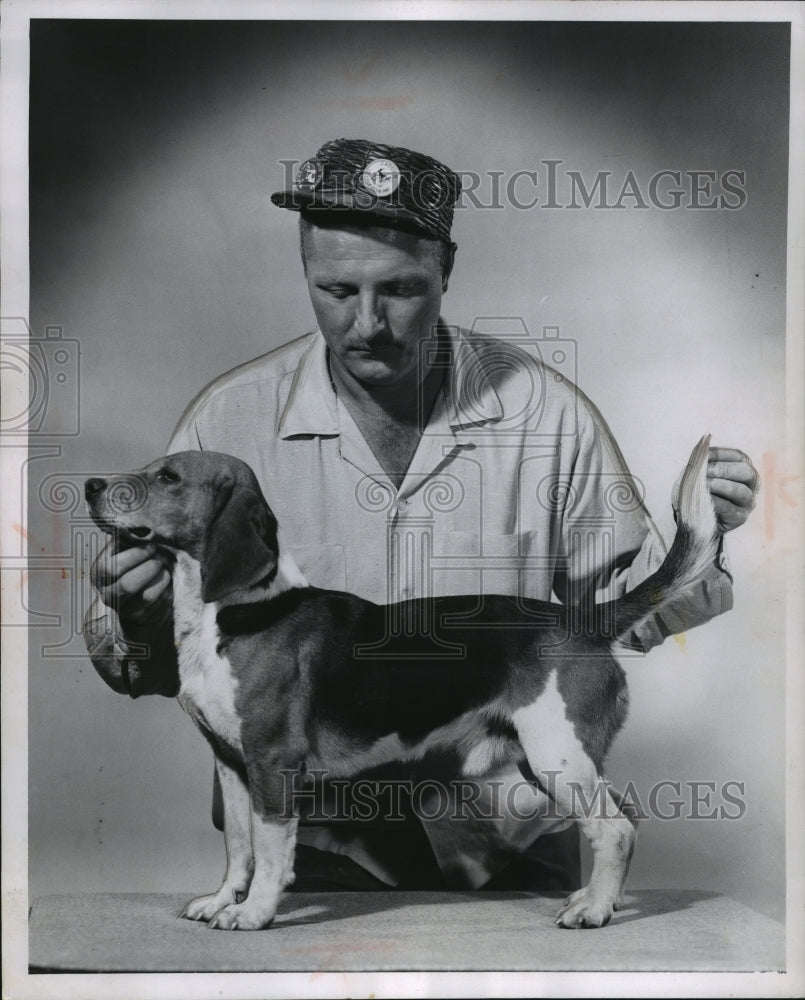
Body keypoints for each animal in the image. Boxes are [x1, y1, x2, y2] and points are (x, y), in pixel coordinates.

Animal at [86, 438, 716, 928]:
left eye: (167, 477)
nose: (91, 484)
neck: (232, 611)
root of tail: (582, 621)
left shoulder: (273, 760)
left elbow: (269, 850)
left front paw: (254, 913)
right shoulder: (232, 762)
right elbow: (239, 846)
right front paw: (222, 901)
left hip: (559, 756)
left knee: (615, 830)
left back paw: (594, 910)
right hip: (554, 759)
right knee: (623, 818)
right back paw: (594, 897)